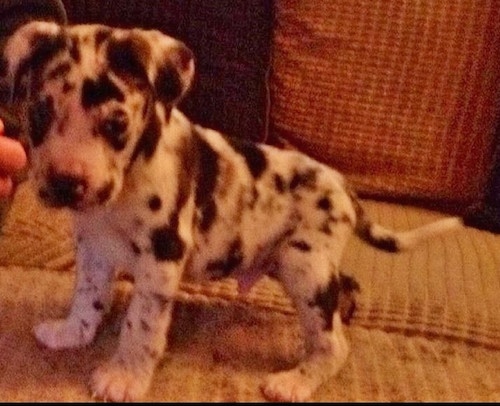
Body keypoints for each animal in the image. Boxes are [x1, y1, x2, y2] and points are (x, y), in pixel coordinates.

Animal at [0, 22, 462, 402]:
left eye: (116, 123)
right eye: (39, 113)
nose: (65, 183)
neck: (122, 192)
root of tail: (342, 184)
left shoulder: (161, 258)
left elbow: (140, 325)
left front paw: (125, 376)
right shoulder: (93, 247)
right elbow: (88, 295)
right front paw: (73, 332)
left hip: (304, 267)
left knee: (333, 344)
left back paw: (294, 382)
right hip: (305, 265)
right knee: (344, 291)